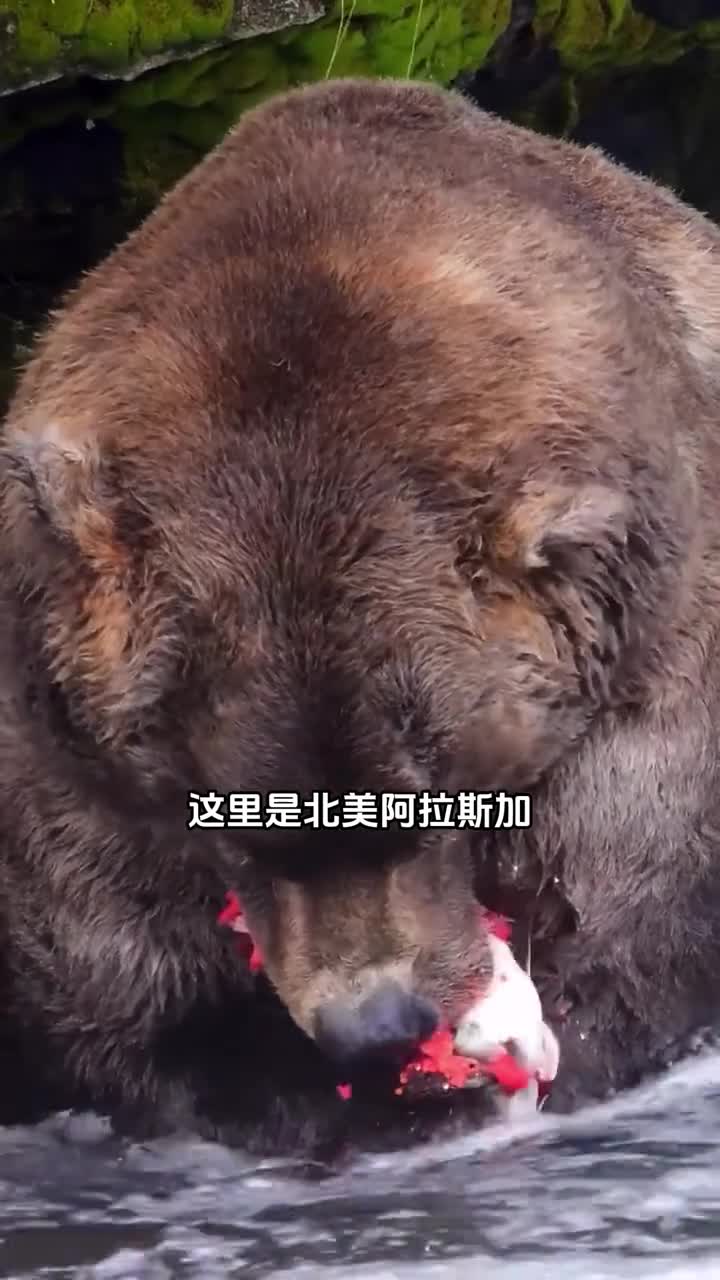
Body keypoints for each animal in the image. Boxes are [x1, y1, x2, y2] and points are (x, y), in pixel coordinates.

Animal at [1, 74, 720, 1154]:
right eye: (226, 813)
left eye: (435, 794)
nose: (376, 1024)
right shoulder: (69, 748)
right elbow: (121, 974)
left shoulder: (657, 664)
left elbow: (628, 911)